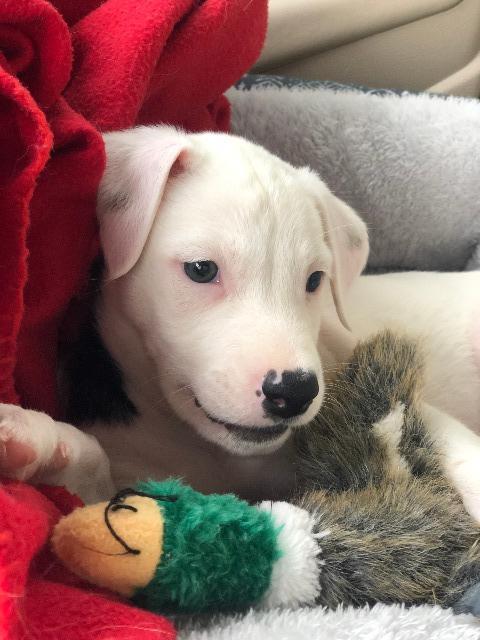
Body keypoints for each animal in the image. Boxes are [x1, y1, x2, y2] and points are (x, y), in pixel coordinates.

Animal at [1, 127, 480, 514]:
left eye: (314, 280)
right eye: (201, 269)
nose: (294, 391)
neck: (221, 455)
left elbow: (452, 442)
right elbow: (92, 480)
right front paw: (41, 443)